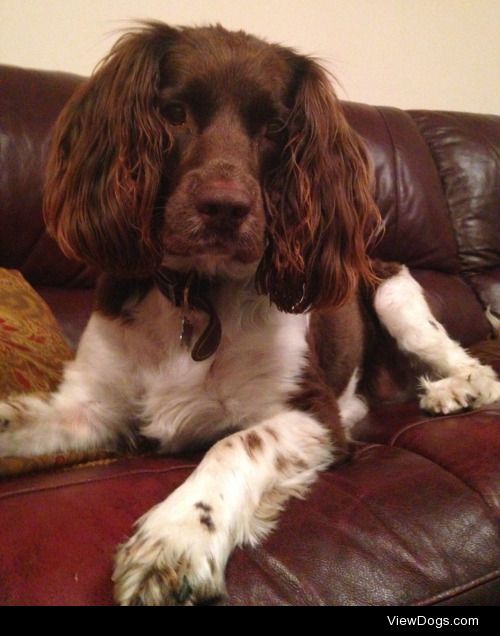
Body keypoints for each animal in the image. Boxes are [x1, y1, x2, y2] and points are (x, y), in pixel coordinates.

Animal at [0, 22, 500, 604]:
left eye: (276, 128)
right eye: (173, 112)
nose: (225, 208)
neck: (197, 297)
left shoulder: (314, 415)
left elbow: (233, 444)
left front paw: (174, 539)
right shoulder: (93, 409)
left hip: (394, 298)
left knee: (472, 365)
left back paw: (453, 392)